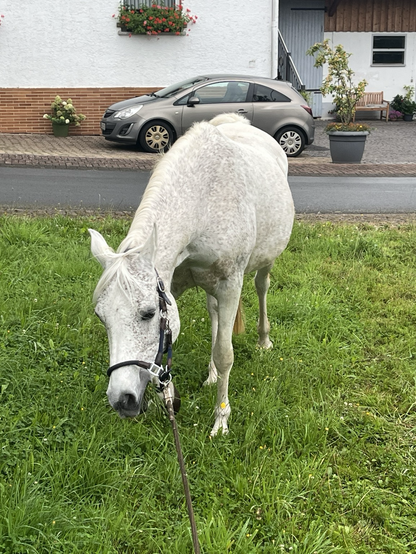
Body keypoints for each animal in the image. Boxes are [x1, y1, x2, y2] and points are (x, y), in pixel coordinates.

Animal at [89, 112, 294, 434]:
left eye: (148, 313)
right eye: (101, 317)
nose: (122, 400)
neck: (205, 200)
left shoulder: (230, 285)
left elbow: (225, 354)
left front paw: (221, 419)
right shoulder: (173, 285)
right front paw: (168, 400)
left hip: (266, 262)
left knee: (262, 287)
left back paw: (263, 341)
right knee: (214, 313)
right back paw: (211, 375)